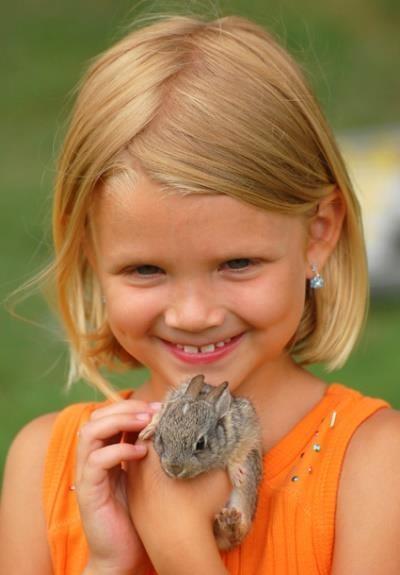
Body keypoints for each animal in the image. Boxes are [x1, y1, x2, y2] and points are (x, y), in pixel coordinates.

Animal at [139, 376, 264, 552]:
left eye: (200, 444)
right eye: (161, 438)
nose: (174, 469)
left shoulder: (246, 425)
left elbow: (242, 447)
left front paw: (236, 473)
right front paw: (148, 429)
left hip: (245, 494)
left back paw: (231, 523)